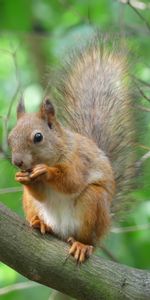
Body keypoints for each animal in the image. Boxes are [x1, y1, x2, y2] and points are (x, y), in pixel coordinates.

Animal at [8, 40, 135, 262]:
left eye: (38, 137)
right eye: (9, 138)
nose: (18, 162)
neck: (60, 148)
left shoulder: (80, 161)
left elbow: (71, 181)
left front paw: (46, 172)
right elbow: (41, 194)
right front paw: (22, 178)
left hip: (93, 203)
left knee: (85, 235)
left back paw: (81, 245)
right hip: (31, 204)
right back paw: (40, 223)